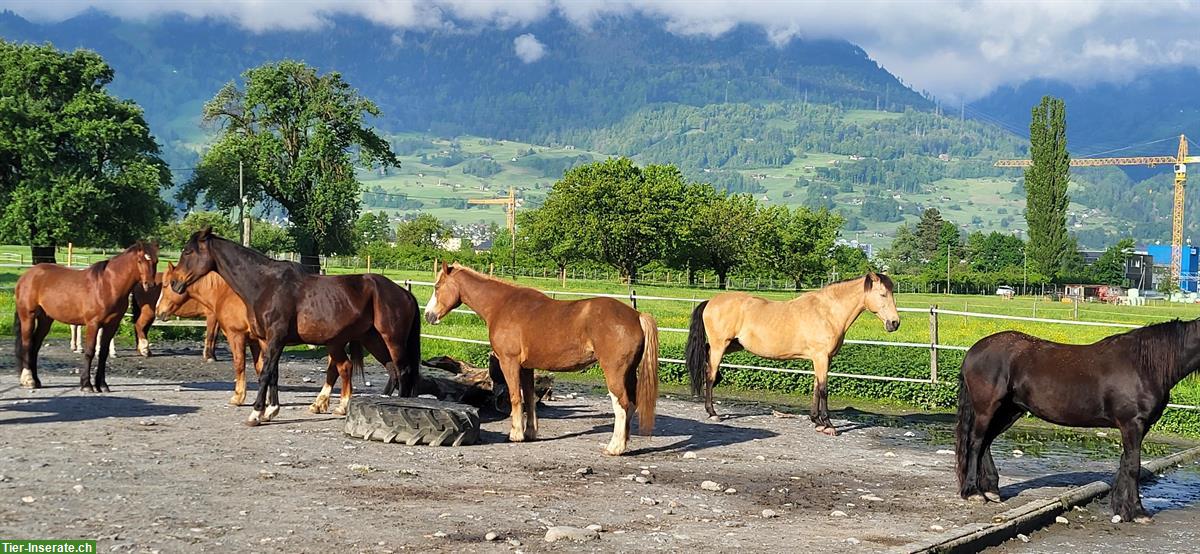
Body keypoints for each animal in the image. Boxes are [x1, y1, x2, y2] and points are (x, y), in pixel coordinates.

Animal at [14, 241, 159, 392]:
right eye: (140, 261)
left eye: (156, 261)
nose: (150, 285)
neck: (108, 285)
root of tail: (26, 276)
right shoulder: (93, 324)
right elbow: (89, 352)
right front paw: (86, 384)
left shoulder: (111, 325)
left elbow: (103, 353)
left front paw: (102, 385)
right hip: (28, 316)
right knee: (27, 344)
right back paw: (28, 380)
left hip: (45, 320)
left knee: (35, 346)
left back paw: (37, 380)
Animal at [157, 262, 364, 412]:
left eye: (167, 284)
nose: (159, 311)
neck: (227, 294)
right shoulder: (257, 342)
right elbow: (261, 368)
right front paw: (267, 401)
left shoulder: (237, 336)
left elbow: (240, 364)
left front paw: (239, 397)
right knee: (334, 369)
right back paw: (319, 403)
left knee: (337, 369)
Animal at [423, 262, 659, 456]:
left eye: (437, 287)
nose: (428, 315)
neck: (502, 305)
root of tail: (637, 316)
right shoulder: (527, 367)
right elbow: (528, 398)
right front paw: (530, 433)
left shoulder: (509, 362)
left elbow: (515, 397)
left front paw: (515, 434)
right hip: (629, 373)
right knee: (632, 404)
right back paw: (623, 444)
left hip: (614, 373)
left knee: (622, 405)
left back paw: (614, 447)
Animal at [685, 273, 900, 435]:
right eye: (883, 294)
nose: (895, 323)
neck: (827, 312)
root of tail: (711, 301)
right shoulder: (821, 357)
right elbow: (824, 389)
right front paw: (828, 425)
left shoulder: (823, 359)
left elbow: (816, 387)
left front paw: (816, 421)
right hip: (720, 345)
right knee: (710, 374)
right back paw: (713, 412)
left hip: (733, 345)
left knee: (707, 356)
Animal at [956, 320, 1200, 523]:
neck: (1144, 365)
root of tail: (974, 351)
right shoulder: (1132, 424)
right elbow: (1133, 467)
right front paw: (1137, 512)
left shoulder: (1137, 427)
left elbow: (1125, 463)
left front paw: (1122, 509)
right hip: (987, 409)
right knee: (975, 443)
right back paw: (973, 493)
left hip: (1009, 411)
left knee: (986, 442)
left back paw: (991, 490)